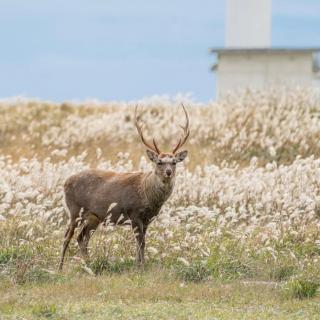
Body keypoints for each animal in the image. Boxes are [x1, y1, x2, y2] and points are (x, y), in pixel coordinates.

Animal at [58, 102, 190, 270]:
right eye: (159, 162)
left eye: (174, 162)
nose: (168, 172)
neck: (147, 194)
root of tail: (65, 182)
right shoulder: (133, 212)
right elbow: (140, 243)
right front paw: (139, 267)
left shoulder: (147, 219)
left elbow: (142, 243)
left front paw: (139, 264)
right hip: (74, 210)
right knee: (67, 236)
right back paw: (60, 267)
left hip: (94, 216)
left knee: (82, 238)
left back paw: (89, 264)